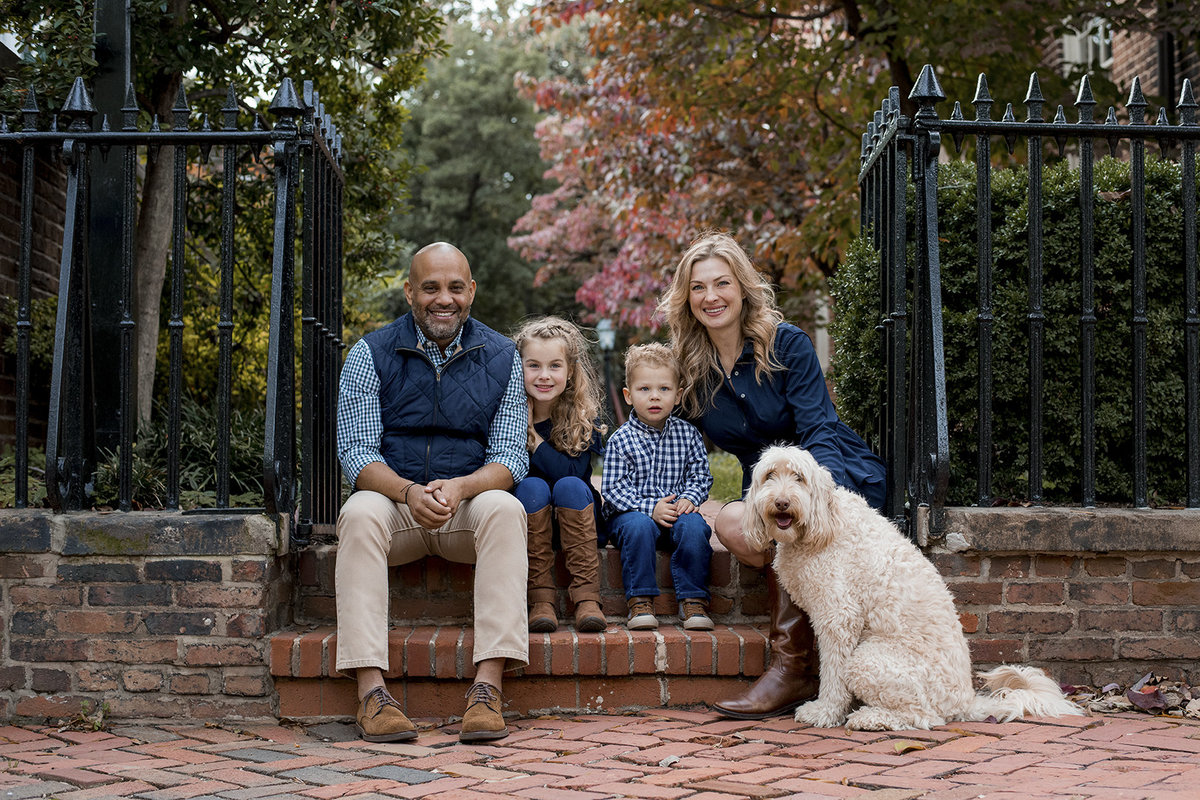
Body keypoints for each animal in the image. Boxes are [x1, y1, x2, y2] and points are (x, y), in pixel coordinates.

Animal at [744, 443, 1084, 734]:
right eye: (769, 476)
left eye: (799, 478)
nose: (782, 502)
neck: (823, 523)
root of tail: (966, 701)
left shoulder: (838, 617)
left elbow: (833, 673)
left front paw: (825, 712)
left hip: (869, 661)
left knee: (925, 716)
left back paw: (871, 718)